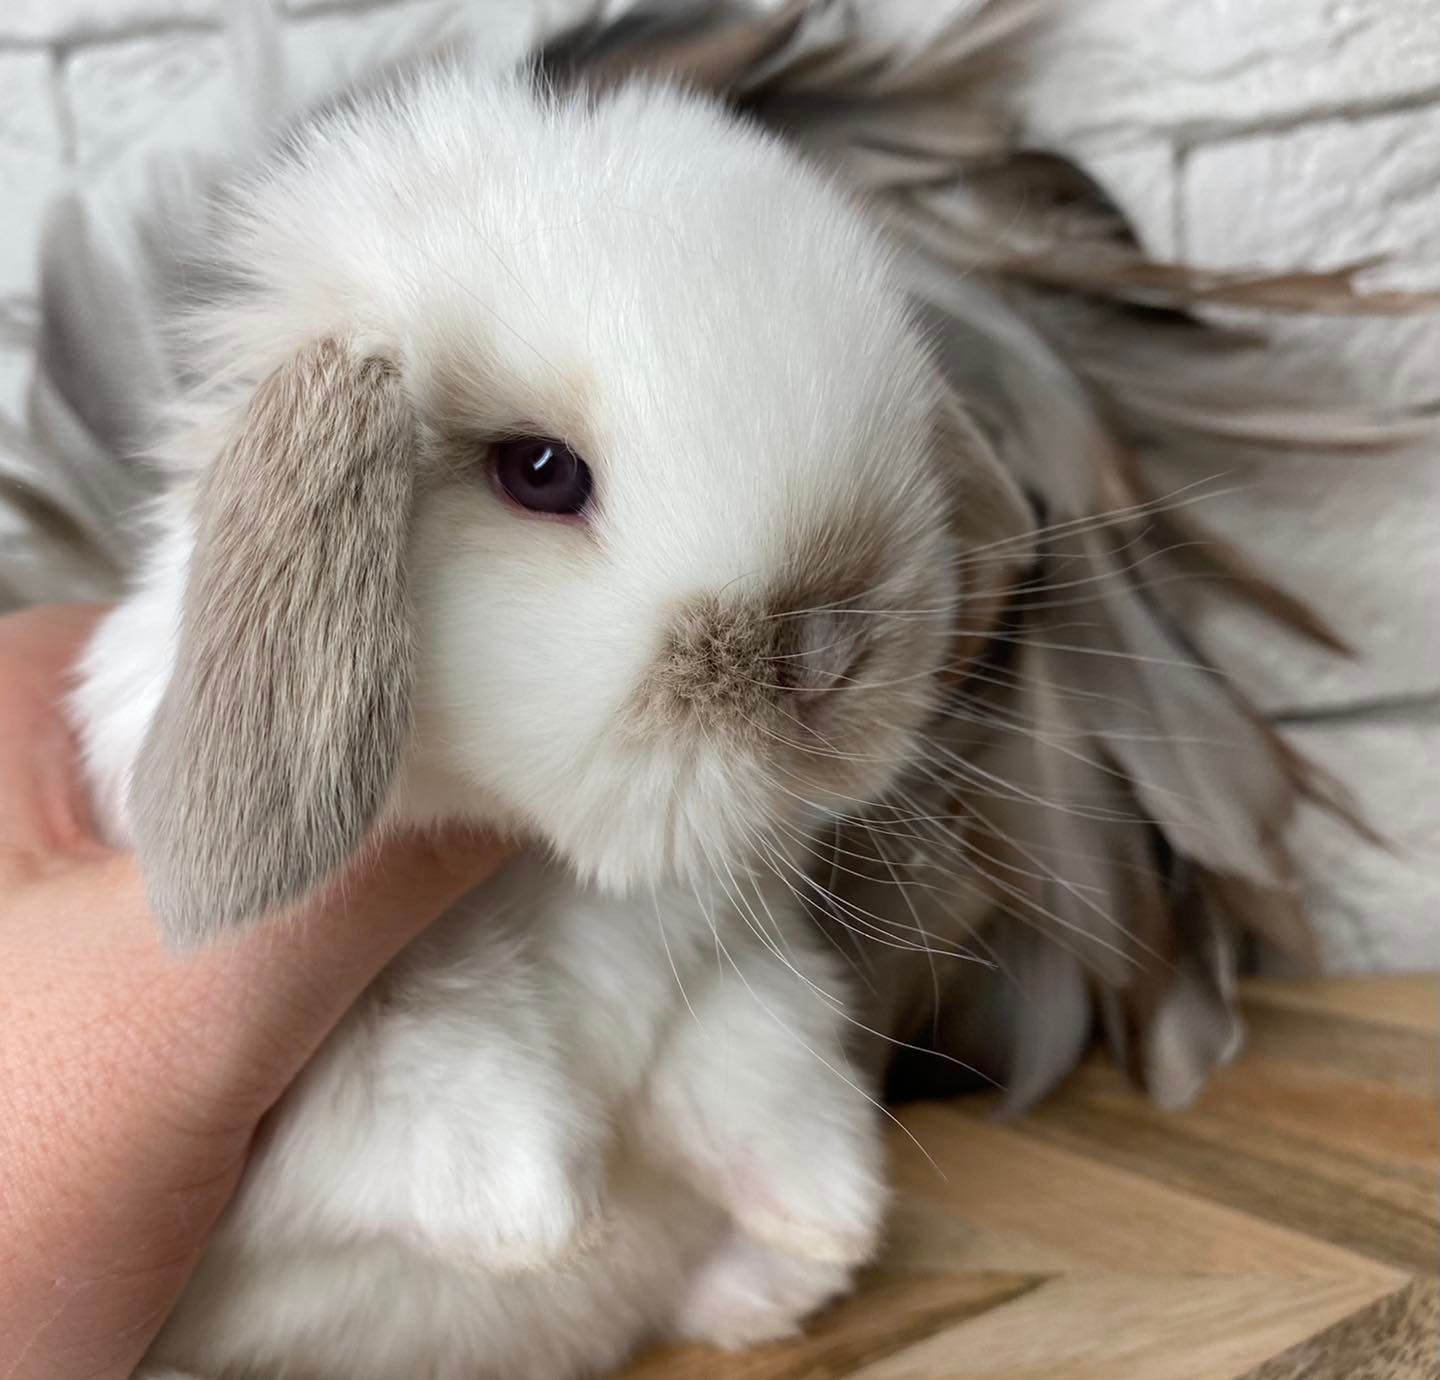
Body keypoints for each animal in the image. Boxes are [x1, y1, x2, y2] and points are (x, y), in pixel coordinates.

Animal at [70, 54, 1036, 1380]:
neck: (542, 866)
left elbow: (752, 1071)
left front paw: (830, 1209)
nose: (831, 658)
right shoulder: (301, 1094)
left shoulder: (725, 981)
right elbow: (429, 1087)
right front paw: (549, 1219)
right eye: (539, 472)